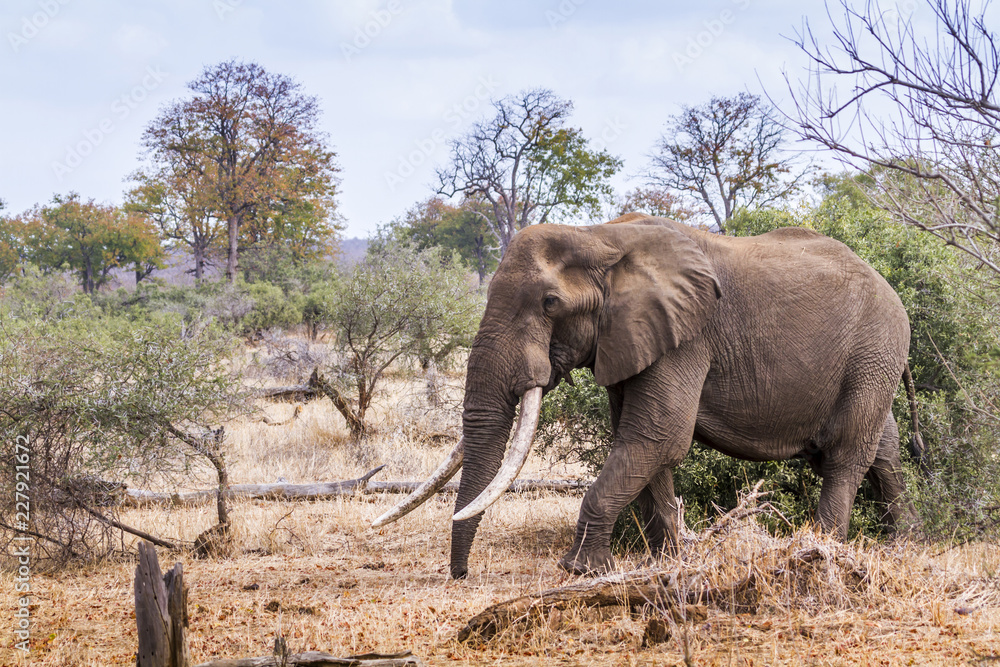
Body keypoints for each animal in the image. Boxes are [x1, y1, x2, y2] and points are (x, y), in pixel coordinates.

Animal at [373, 213, 914, 578]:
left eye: (550, 303)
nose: (461, 575)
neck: (600, 237)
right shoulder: (628, 337)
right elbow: (644, 443)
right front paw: (668, 562)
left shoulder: (688, 335)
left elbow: (656, 436)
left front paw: (579, 571)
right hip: (874, 362)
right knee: (883, 448)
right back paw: (906, 544)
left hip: (874, 351)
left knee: (844, 456)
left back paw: (822, 552)